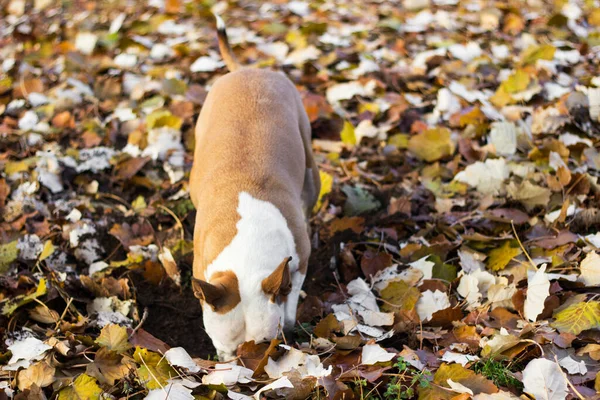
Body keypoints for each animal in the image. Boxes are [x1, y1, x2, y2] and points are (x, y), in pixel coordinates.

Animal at [190, 15, 322, 360]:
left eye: (265, 344)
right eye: (222, 350)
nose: (243, 364)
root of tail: (245, 71)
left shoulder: (299, 259)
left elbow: (292, 289)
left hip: (309, 161)